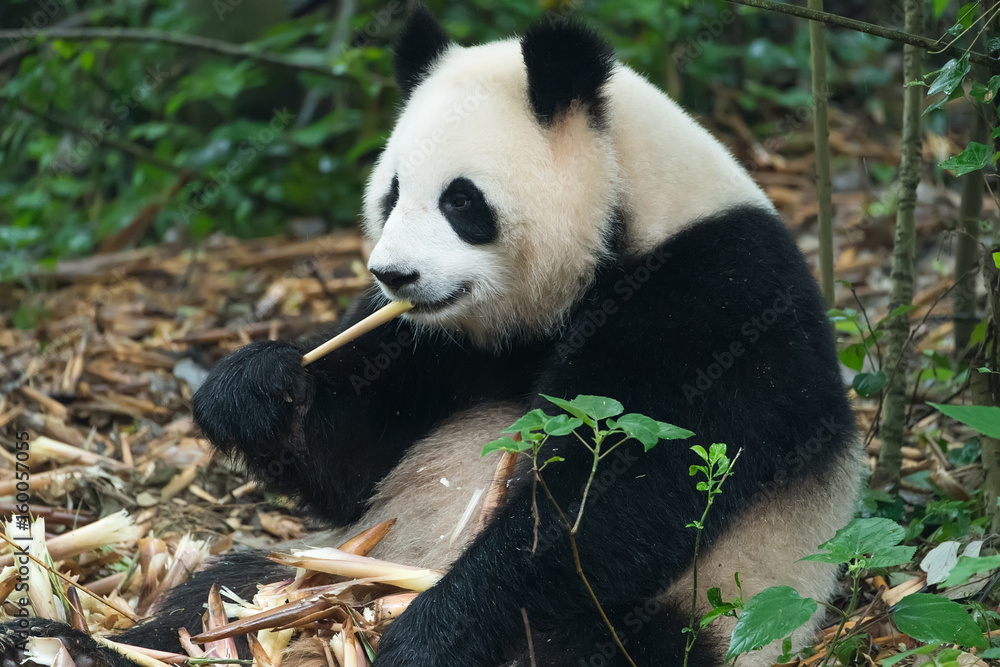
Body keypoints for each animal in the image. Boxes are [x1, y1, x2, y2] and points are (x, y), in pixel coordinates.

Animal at [3, 7, 861, 667]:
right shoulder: (448, 345)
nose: (393, 276)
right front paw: (254, 390)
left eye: (461, 200)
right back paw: (76, 640)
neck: (625, 217)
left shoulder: (714, 295)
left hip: (720, 601)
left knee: (596, 642)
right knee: (223, 591)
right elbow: (356, 456)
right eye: (390, 193)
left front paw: (429, 635)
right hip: (342, 556)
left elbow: (628, 485)